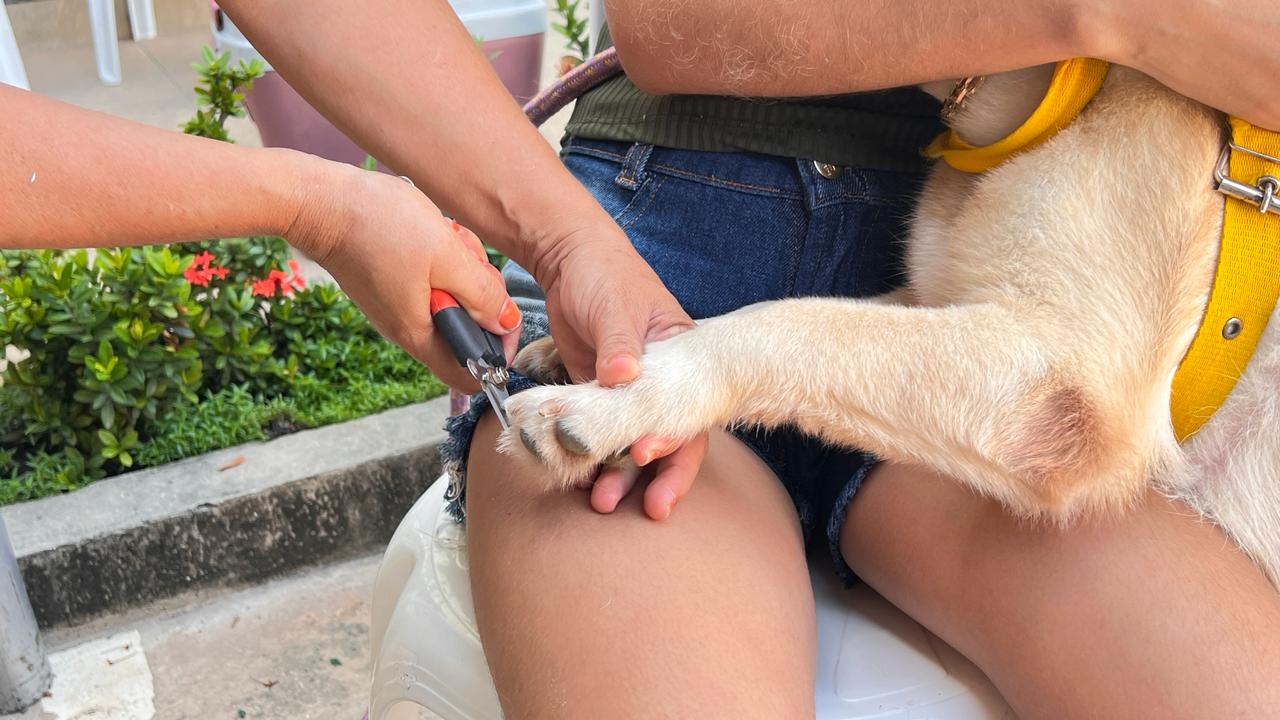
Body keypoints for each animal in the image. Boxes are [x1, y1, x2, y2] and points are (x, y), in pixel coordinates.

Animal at [496, 64, 1280, 584]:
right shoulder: (937, 298)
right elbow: (807, 319)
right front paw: (571, 350)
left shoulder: (1066, 375)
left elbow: (788, 324)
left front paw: (622, 401)